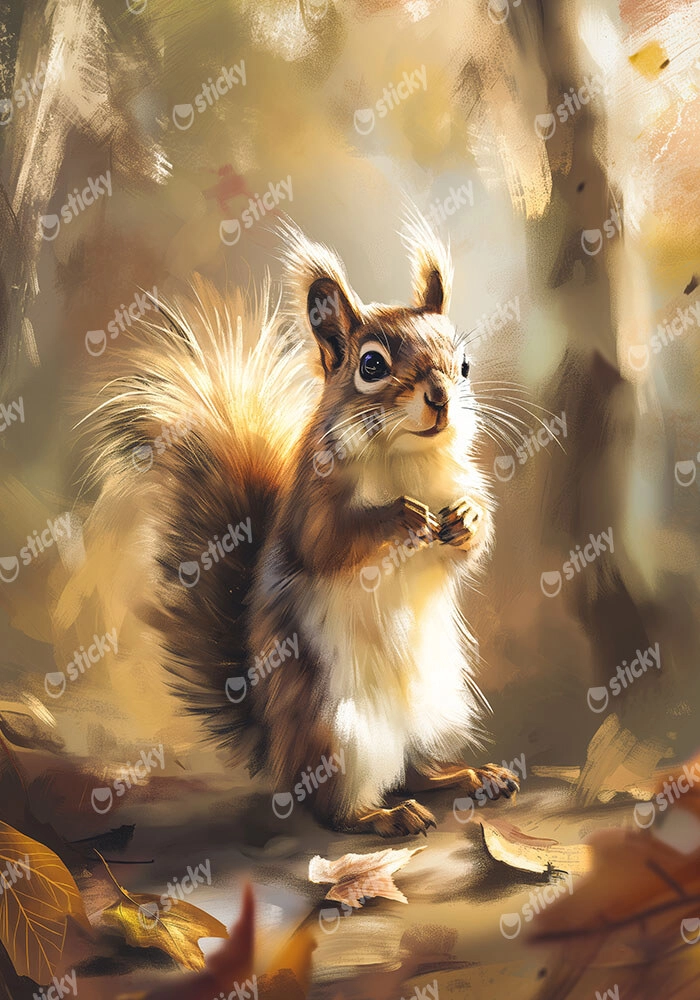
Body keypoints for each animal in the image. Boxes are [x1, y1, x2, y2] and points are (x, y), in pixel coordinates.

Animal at [86, 214, 518, 836]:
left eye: (464, 365)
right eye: (371, 365)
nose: (439, 397)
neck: (408, 456)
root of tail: (279, 752)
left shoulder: (460, 477)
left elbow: (470, 542)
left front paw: (466, 519)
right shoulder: (313, 504)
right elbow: (329, 543)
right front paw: (400, 516)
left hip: (441, 709)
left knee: (416, 771)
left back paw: (467, 776)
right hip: (336, 733)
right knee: (335, 807)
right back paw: (385, 815)